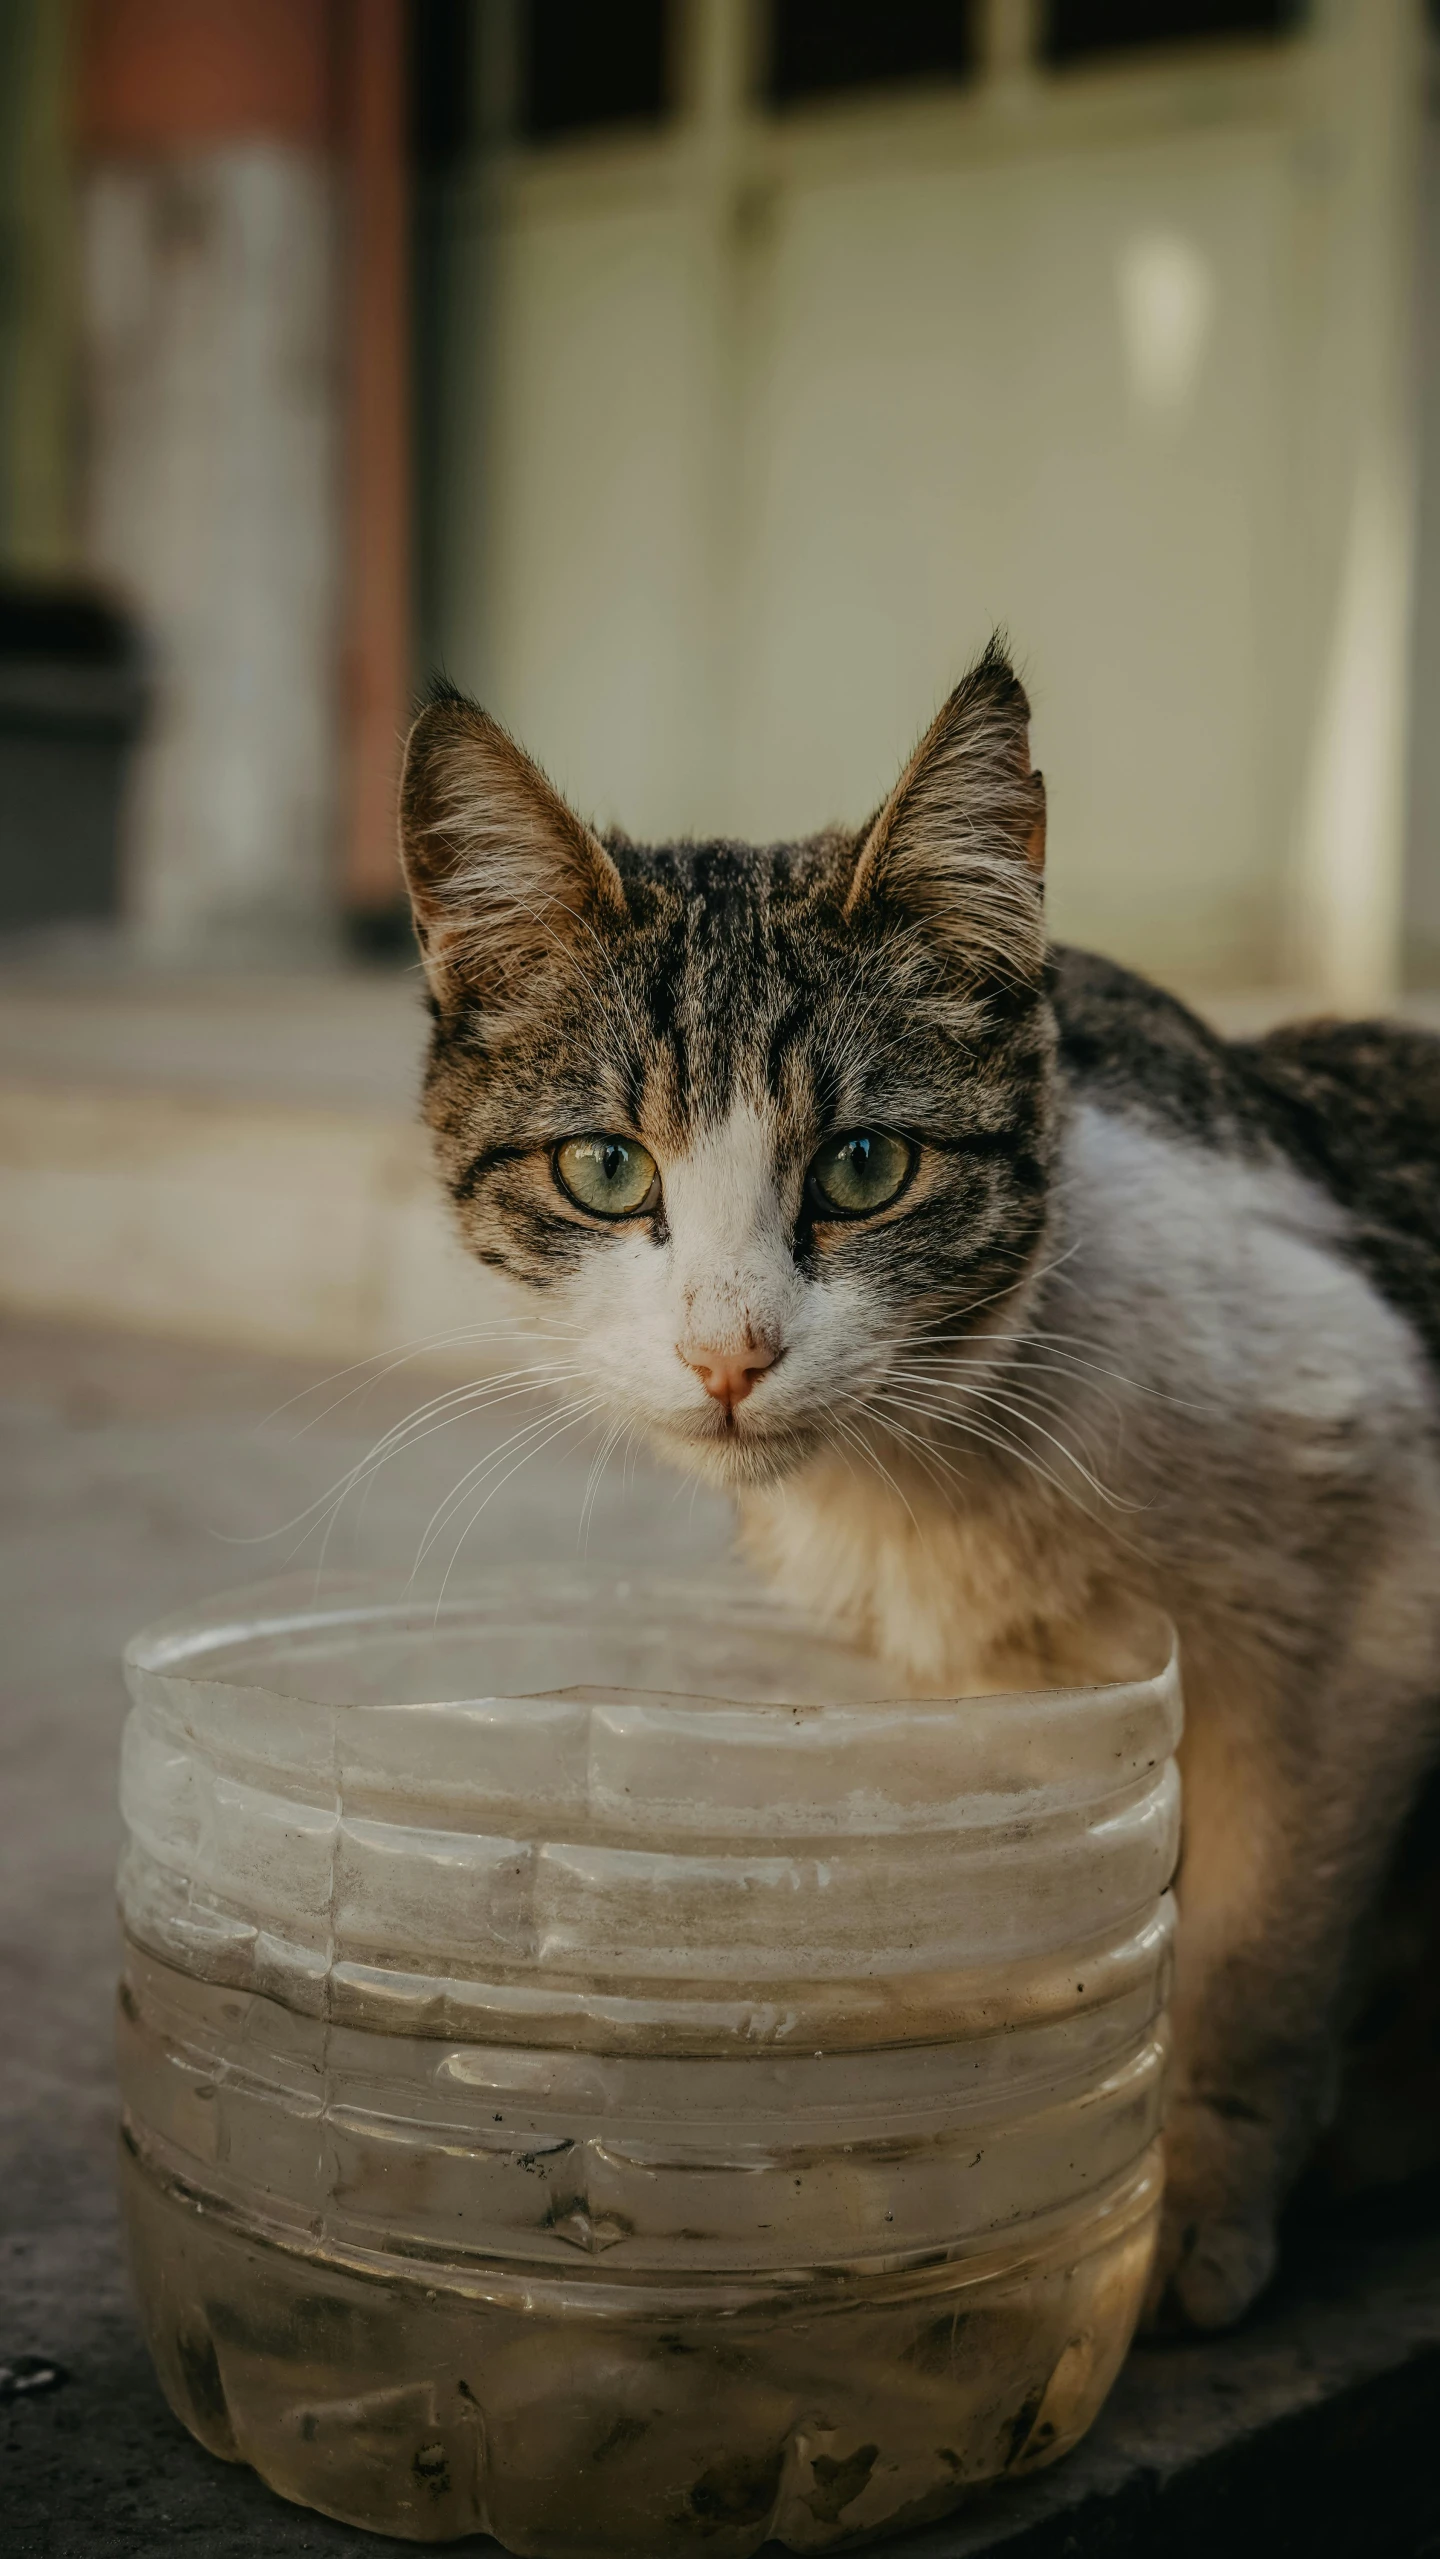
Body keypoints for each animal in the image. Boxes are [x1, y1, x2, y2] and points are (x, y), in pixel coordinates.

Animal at [393, 644, 1440, 2344]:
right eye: (607, 1170)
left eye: (869, 1164)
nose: (730, 1352)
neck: (938, 1464)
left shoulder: (1375, 1548)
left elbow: (1254, 1944)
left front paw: (1187, 2194)